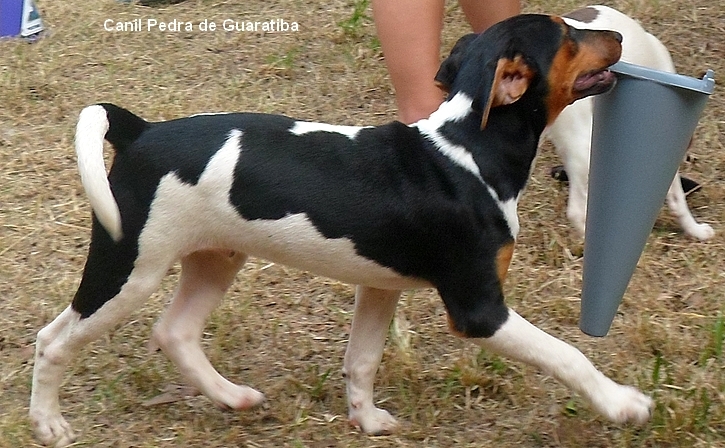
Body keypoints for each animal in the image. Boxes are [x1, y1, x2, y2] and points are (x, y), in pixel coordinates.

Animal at [29, 14, 652, 448]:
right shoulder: (479, 310)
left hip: (214, 259)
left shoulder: (379, 286)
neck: (469, 149)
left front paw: (367, 419)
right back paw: (48, 423)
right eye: (567, 34)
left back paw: (231, 397)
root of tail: (140, 131)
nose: (617, 35)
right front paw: (622, 404)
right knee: (54, 340)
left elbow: (362, 360)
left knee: (174, 331)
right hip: (129, 267)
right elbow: (568, 355)